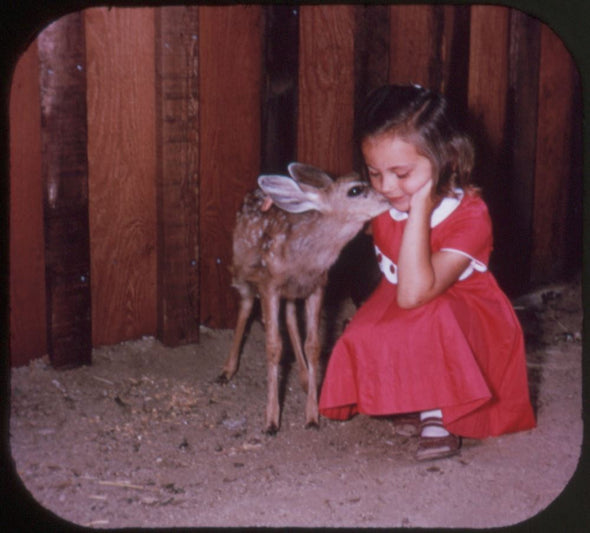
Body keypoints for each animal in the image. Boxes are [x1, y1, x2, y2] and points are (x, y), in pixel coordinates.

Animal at [219, 162, 394, 432]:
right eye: (355, 190)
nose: (388, 199)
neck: (305, 259)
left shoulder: (317, 285)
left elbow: (314, 345)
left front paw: (312, 415)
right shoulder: (269, 283)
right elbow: (274, 346)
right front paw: (272, 420)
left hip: (292, 293)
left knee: (291, 316)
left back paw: (303, 378)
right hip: (241, 270)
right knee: (246, 305)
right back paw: (227, 370)